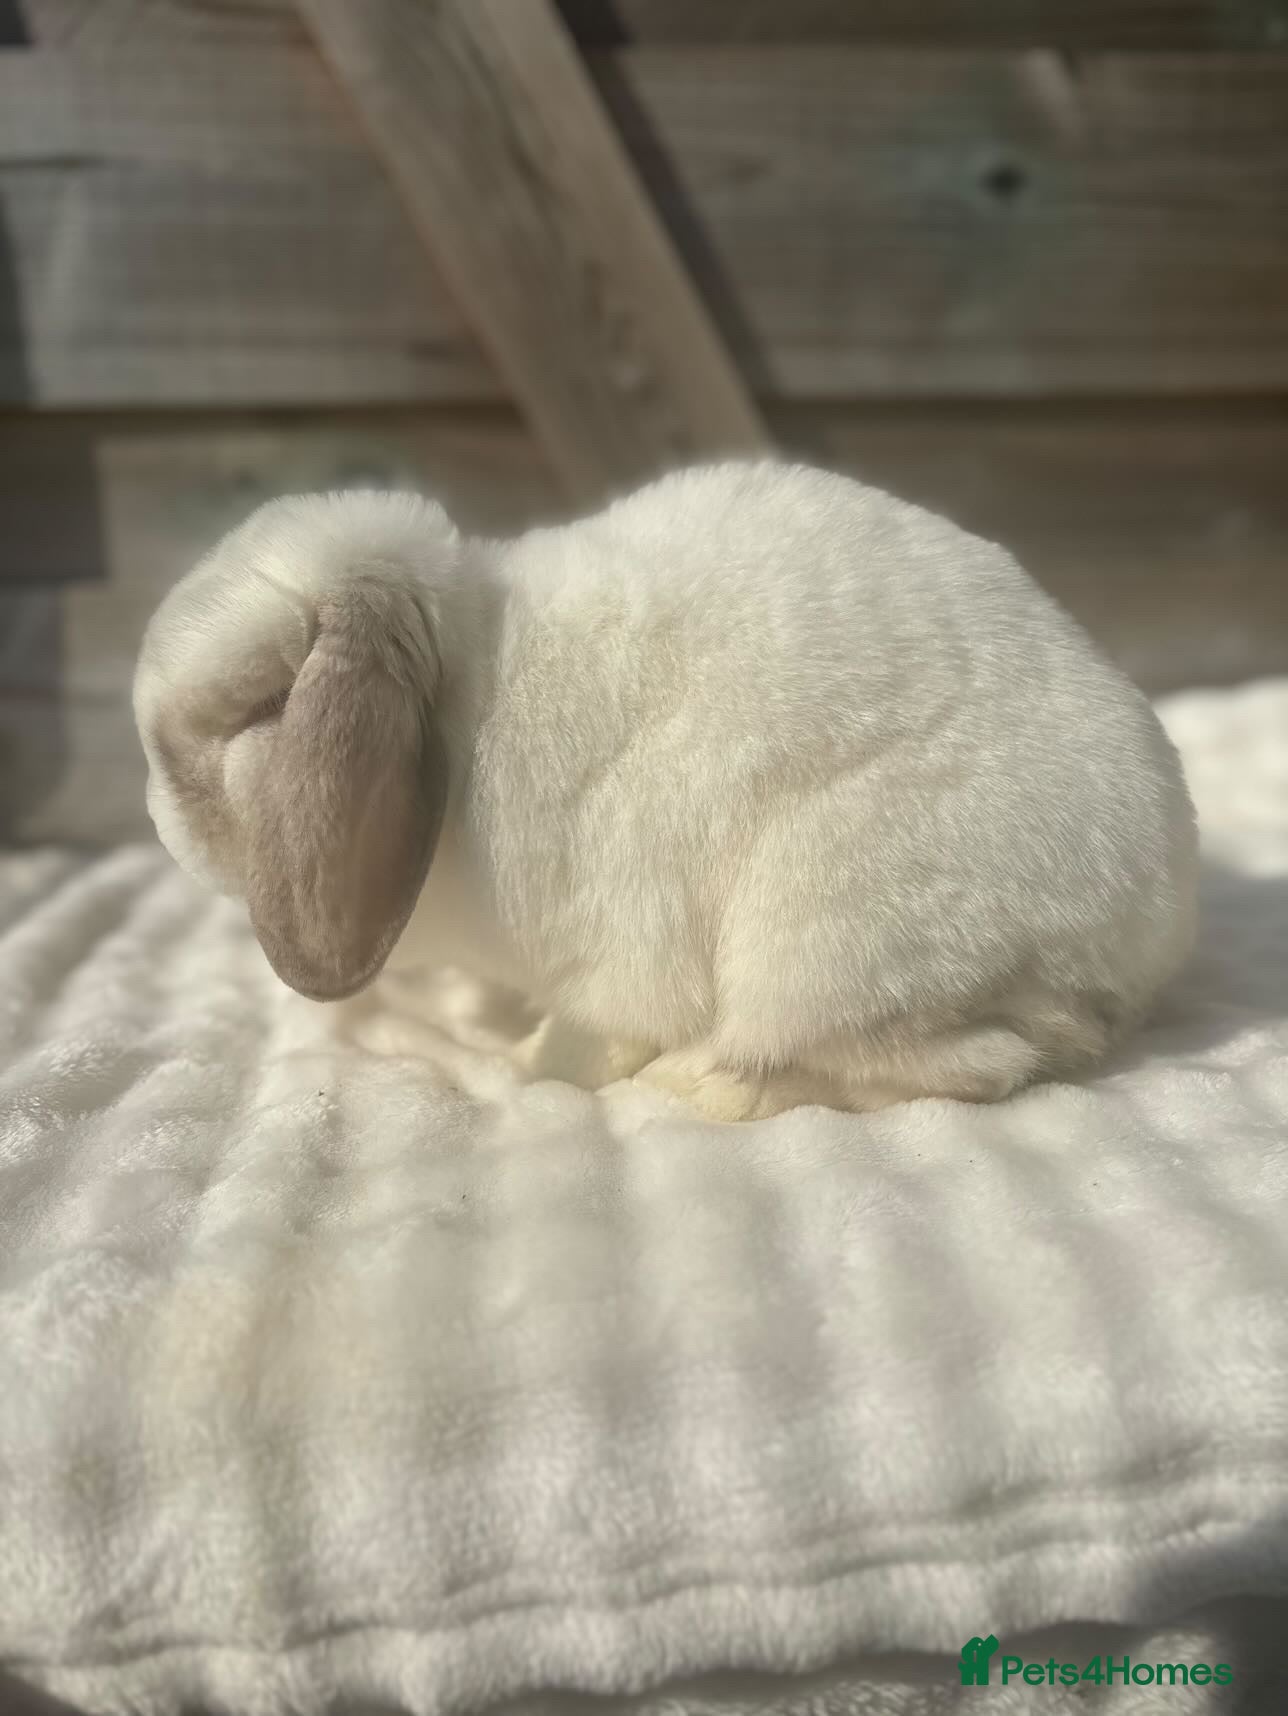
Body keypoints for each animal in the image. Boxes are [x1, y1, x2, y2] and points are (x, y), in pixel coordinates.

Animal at [133, 460, 1198, 1122]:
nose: (153, 815)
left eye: (259, 706)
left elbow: (586, 1045)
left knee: (971, 1065)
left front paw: (513, 1068)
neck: (470, 683)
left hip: (820, 944)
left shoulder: (614, 967)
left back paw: (707, 1087)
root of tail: (1145, 926)